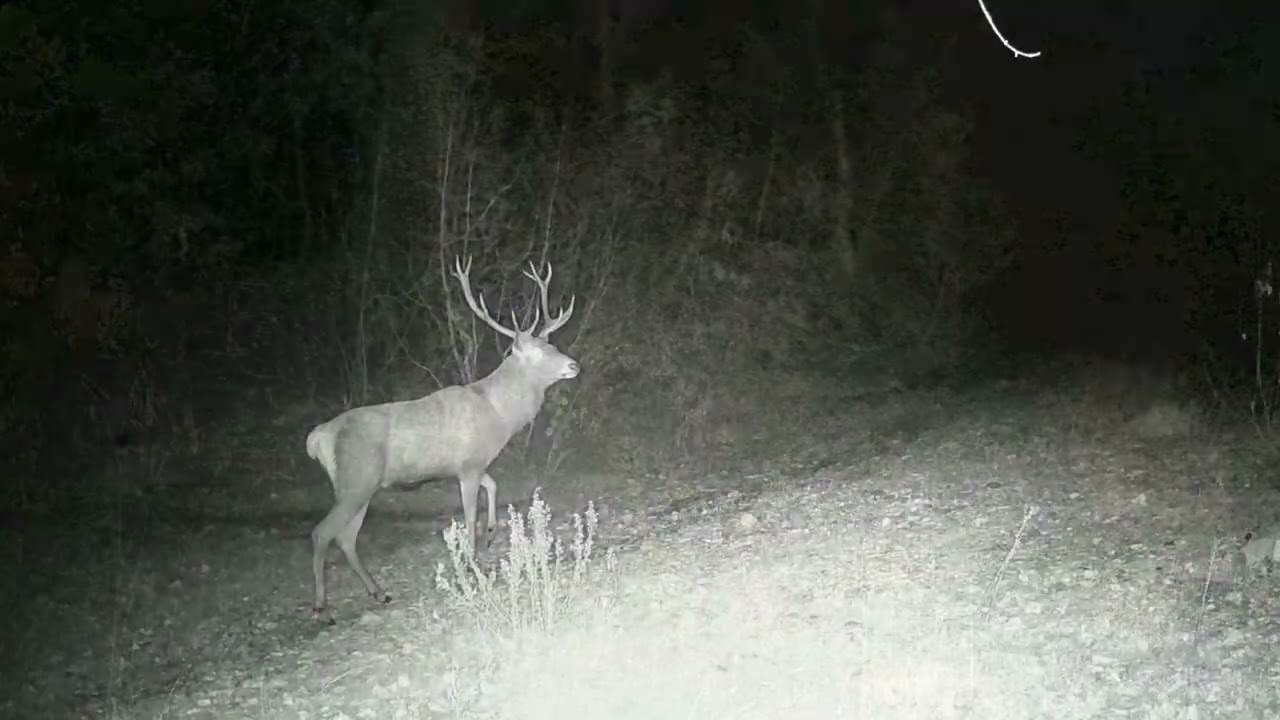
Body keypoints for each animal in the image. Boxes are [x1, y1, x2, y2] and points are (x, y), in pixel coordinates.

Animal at [304, 256, 579, 619]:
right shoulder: (470, 464)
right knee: (322, 532)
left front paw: (491, 533)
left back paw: (379, 592)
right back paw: (321, 604)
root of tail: (319, 437)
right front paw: (475, 562)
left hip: (359, 485)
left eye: (552, 344)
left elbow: (493, 486)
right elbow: (469, 514)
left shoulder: (468, 463)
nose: (573, 366)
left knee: (345, 537)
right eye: (536, 353)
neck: (498, 413)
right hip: (356, 477)